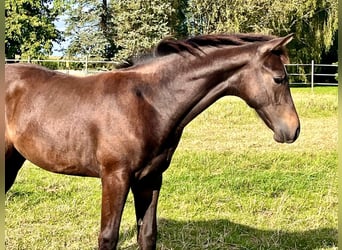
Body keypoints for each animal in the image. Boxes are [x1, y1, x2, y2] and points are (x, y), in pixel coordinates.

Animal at [5, 33, 300, 250]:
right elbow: (108, 237)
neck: (149, 103)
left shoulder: (150, 178)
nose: (293, 130)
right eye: (279, 79)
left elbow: (147, 234)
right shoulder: (115, 177)